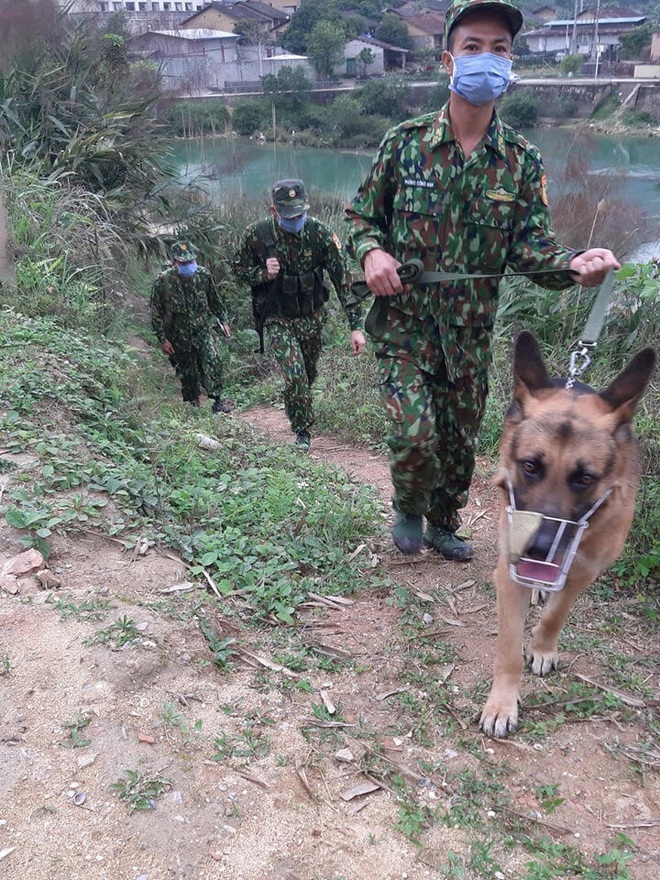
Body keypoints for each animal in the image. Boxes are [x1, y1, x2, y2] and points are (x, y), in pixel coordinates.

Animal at [480, 330, 656, 736]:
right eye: (530, 465)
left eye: (584, 478)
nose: (539, 548)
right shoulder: (510, 572)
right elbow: (509, 650)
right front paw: (502, 704)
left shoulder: (585, 570)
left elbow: (556, 615)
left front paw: (543, 648)